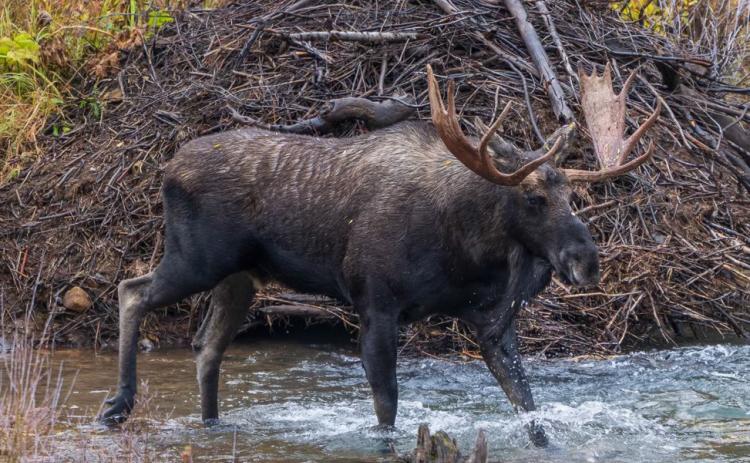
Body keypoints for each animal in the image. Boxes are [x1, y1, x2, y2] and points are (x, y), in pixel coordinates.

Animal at [101, 63, 660, 447]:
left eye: (572, 194)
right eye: (533, 198)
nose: (587, 260)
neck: (467, 247)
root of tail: (169, 167)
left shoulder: (487, 321)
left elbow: (530, 408)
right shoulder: (376, 302)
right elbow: (387, 409)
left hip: (239, 276)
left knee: (207, 345)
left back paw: (213, 423)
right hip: (196, 258)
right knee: (132, 291)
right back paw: (118, 403)